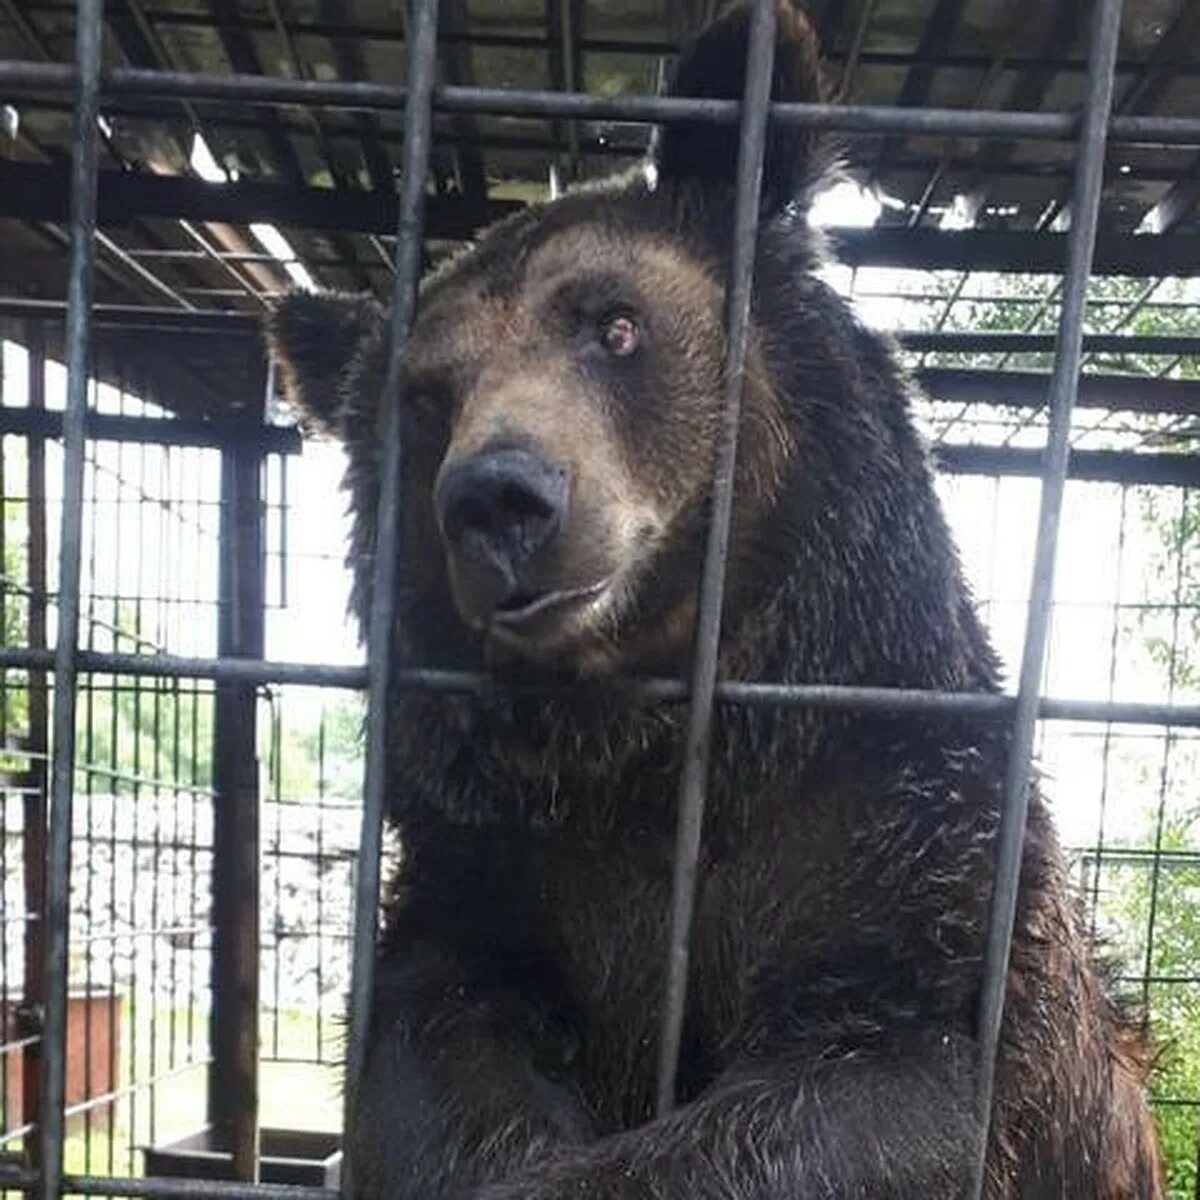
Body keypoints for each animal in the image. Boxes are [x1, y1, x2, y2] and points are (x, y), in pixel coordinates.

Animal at [262, 4, 1161, 1195]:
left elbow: (893, 1086)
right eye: (426, 396)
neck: (655, 756)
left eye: (614, 324)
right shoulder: (496, 865)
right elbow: (433, 1044)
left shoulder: (912, 852)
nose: (498, 499)